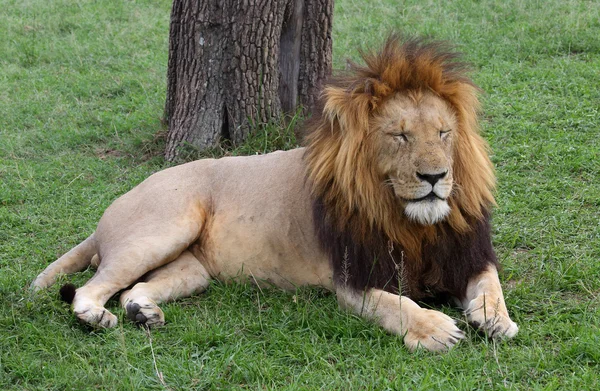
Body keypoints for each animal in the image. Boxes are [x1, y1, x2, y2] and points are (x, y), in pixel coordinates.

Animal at [32, 35, 516, 354]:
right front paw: (436, 328)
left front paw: (496, 318)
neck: (410, 221)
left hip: (191, 269)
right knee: (90, 288)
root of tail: (119, 203)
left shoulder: (464, 254)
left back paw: (142, 313)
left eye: (444, 133)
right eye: (400, 136)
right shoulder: (352, 277)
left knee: (134, 289)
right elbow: (395, 304)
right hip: (162, 227)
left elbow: (490, 284)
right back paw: (97, 317)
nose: (435, 176)